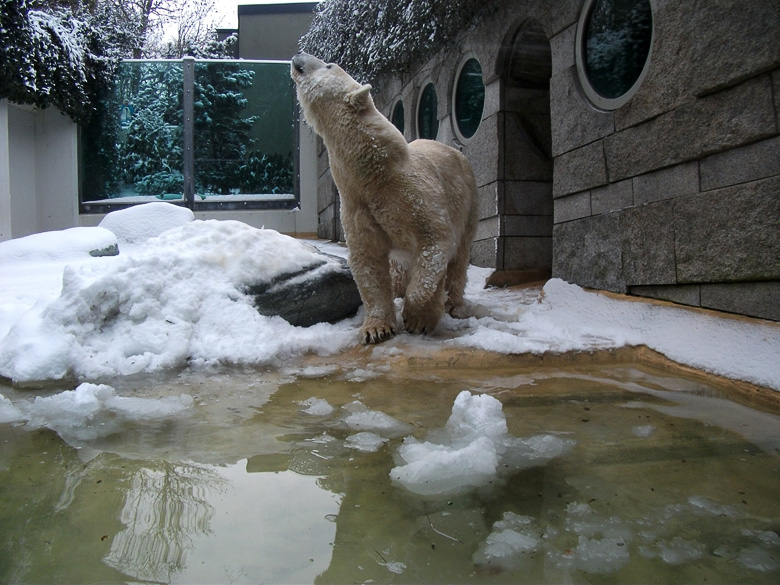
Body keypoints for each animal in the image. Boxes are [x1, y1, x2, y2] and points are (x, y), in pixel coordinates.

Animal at [290, 52, 478, 342]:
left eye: (329, 65)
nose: (299, 54)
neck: (376, 173)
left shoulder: (413, 195)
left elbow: (434, 243)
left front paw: (418, 318)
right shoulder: (357, 204)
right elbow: (369, 262)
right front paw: (376, 328)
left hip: (468, 200)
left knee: (458, 258)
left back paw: (453, 305)